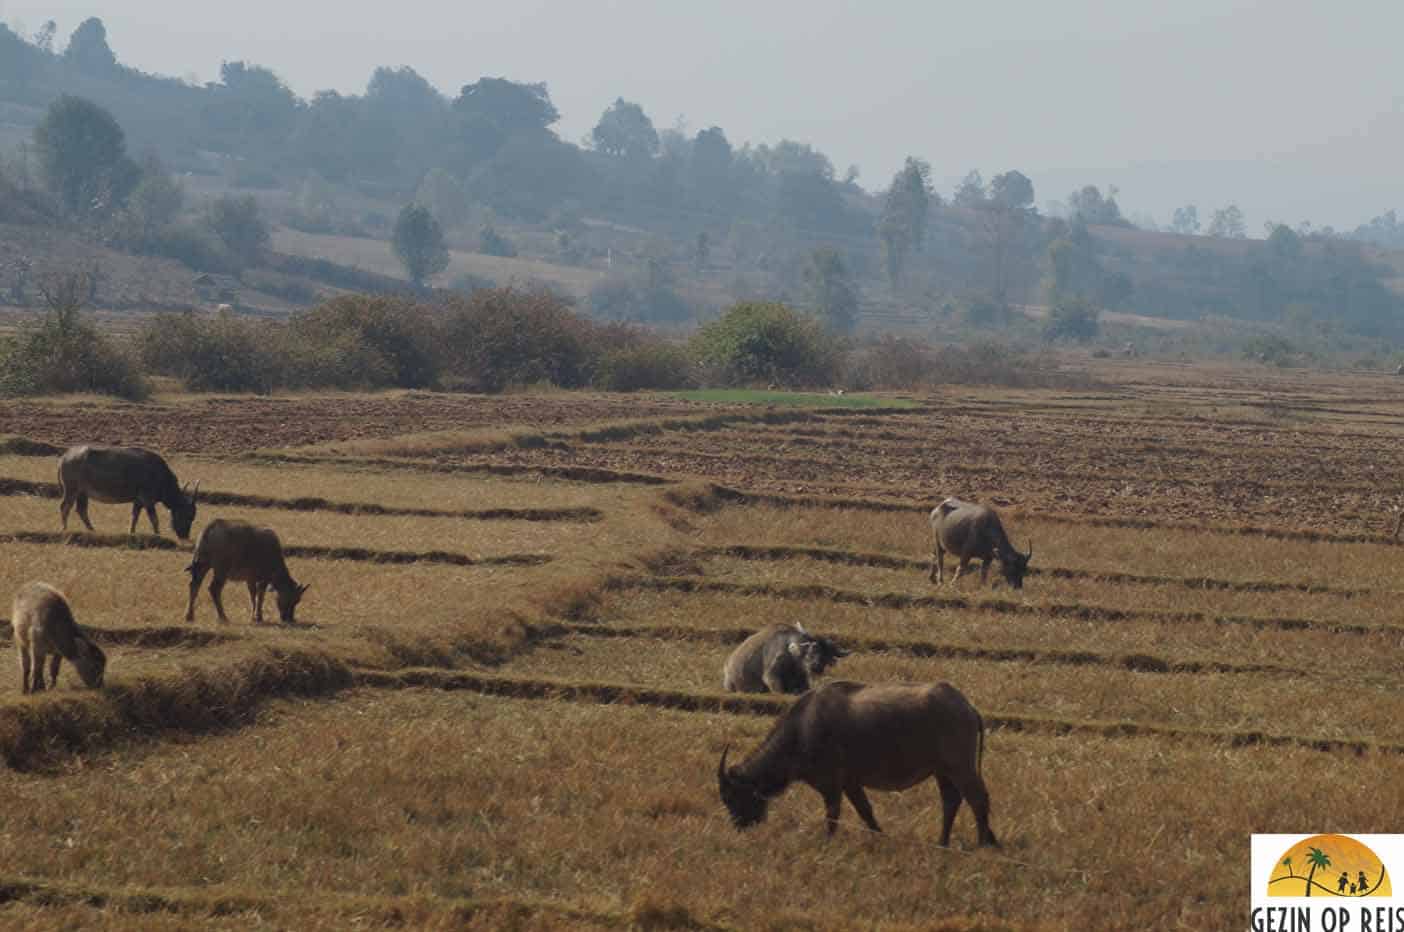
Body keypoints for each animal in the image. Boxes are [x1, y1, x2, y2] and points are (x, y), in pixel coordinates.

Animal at [57, 443, 199, 538]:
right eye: (188, 515)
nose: (185, 536)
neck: (160, 476)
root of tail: (65, 456)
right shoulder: (147, 500)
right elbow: (154, 519)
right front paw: (158, 534)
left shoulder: (138, 501)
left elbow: (134, 517)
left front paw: (131, 532)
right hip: (71, 490)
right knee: (65, 507)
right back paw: (64, 528)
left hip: (82, 493)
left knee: (81, 510)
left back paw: (92, 530)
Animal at [718, 682, 1005, 847]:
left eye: (732, 797)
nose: (739, 826)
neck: (802, 729)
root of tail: (967, 707)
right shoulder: (850, 783)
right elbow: (866, 812)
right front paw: (880, 837)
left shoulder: (831, 785)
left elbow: (833, 815)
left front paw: (828, 842)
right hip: (943, 771)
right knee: (951, 801)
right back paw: (942, 842)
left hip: (960, 767)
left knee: (977, 799)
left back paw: (982, 842)